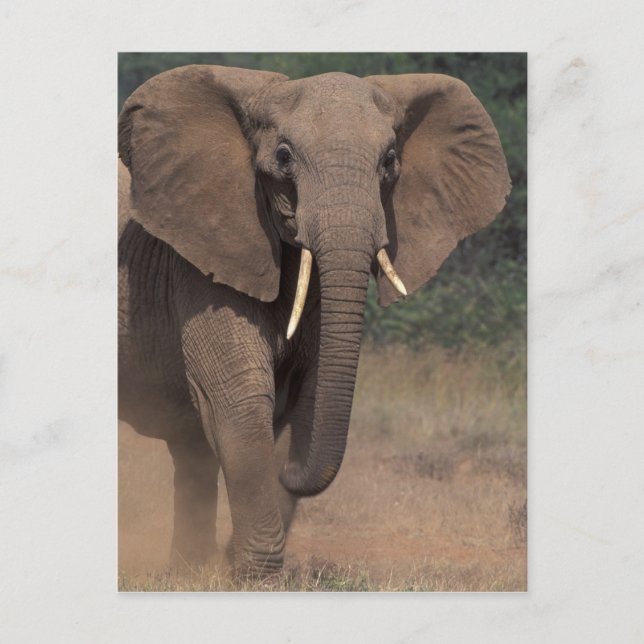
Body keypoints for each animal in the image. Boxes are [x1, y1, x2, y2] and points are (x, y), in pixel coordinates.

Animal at [118, 64, 511, 575]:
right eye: (284, 158)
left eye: (389, 161)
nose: (287, 469)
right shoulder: (198, 258)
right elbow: (239, 398)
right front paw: (255, 577)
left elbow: (311, 396)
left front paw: (238, 567)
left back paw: (190, 572)